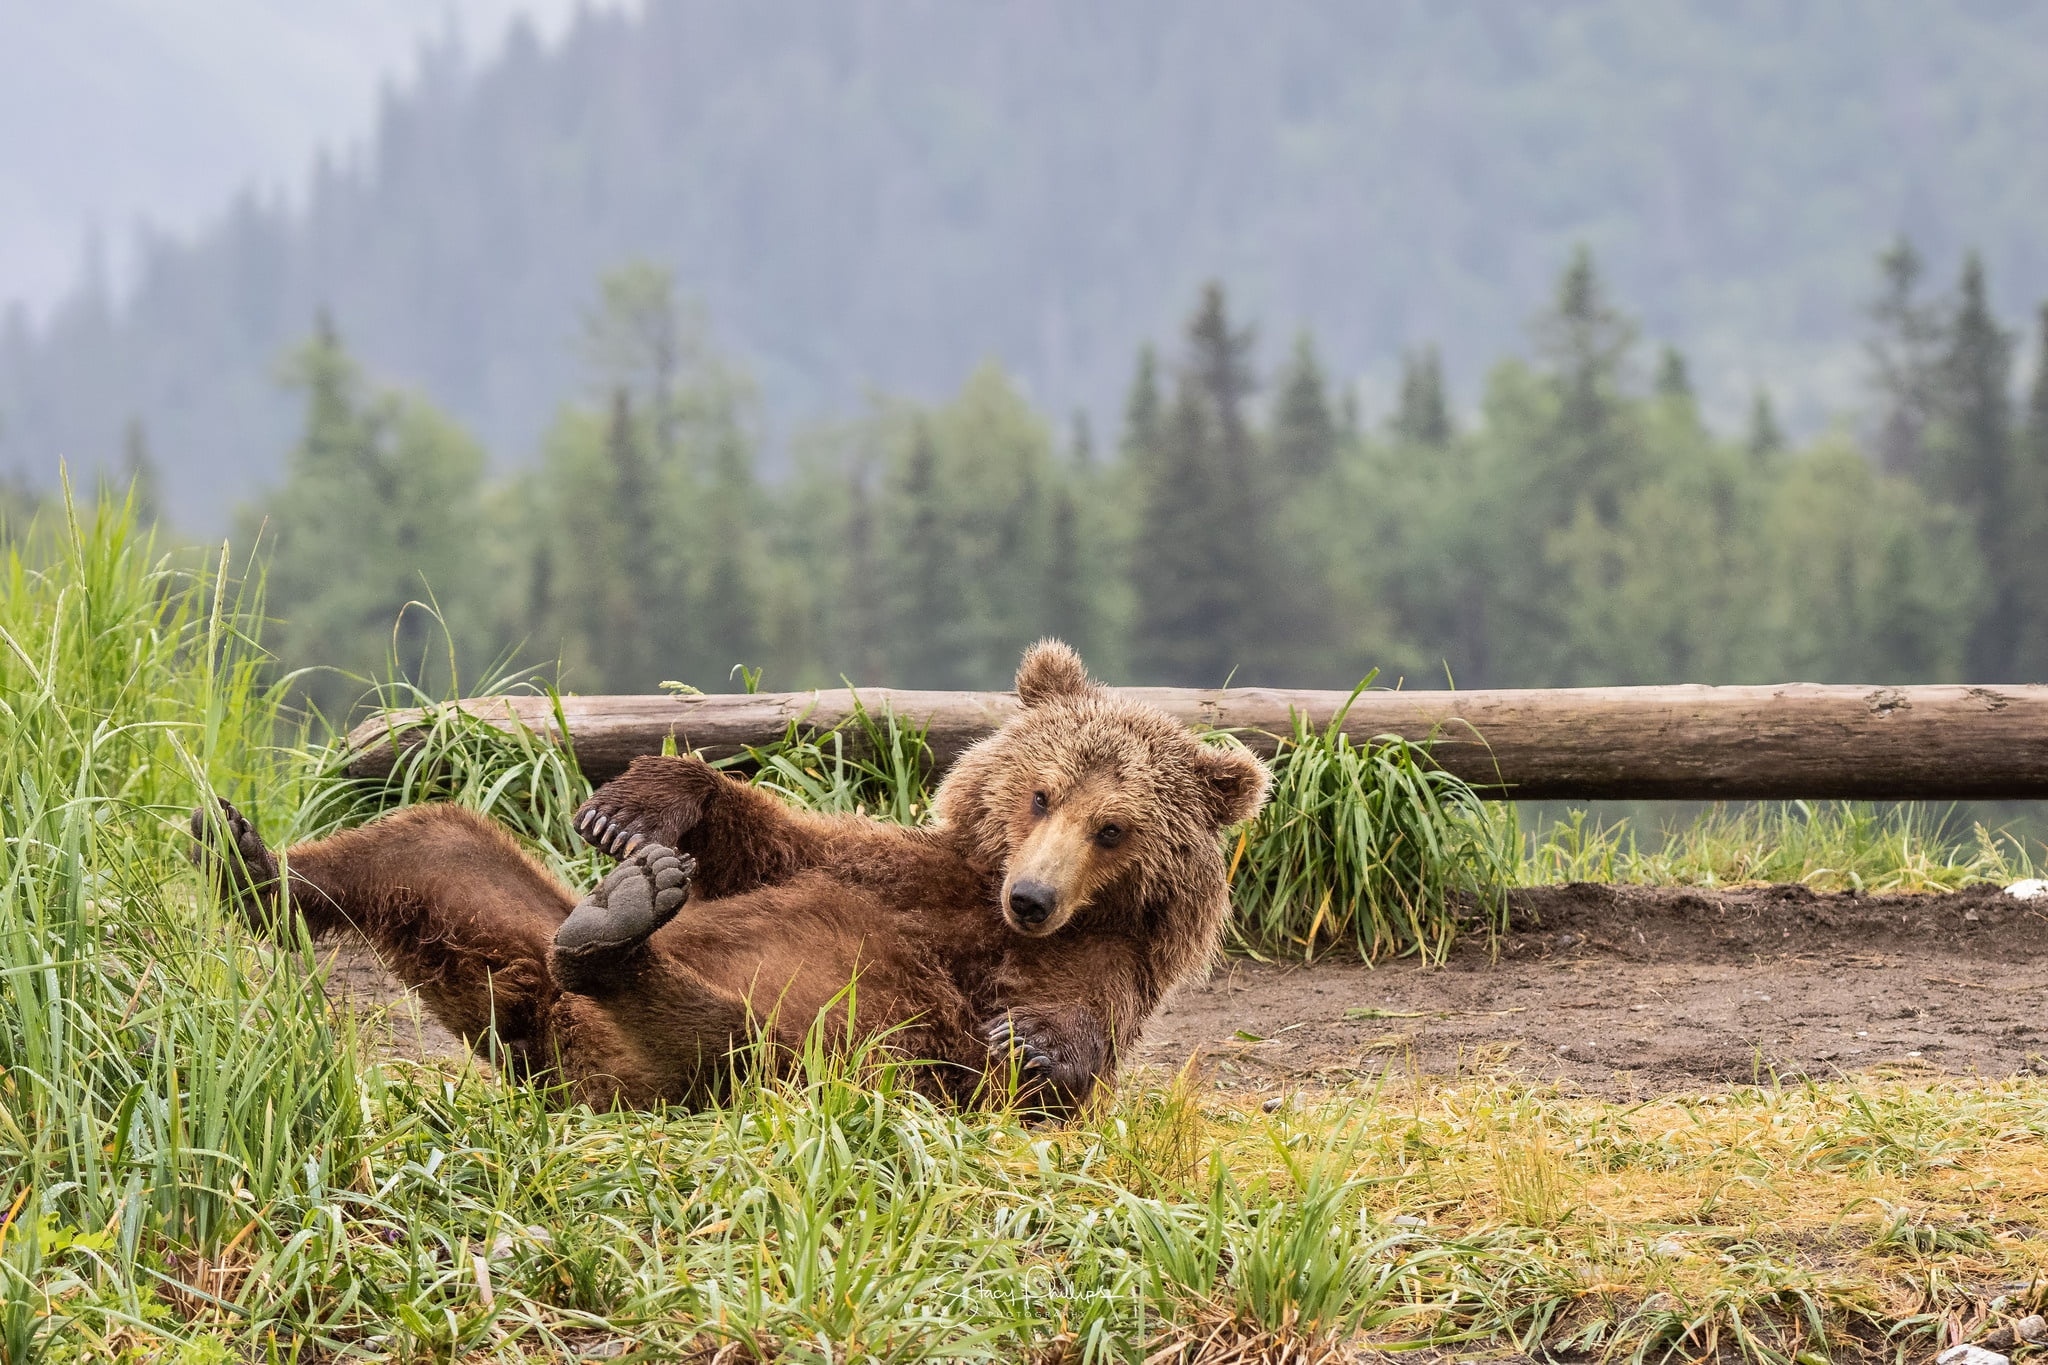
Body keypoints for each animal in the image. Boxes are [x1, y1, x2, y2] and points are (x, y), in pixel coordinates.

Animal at [189, 640, 1270, 1110]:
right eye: (1041, 793)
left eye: (1114, 828)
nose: (1032, 898)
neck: (981, 908)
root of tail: (538, 1033)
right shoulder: (908, 872)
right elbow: (781, 847)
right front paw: (636, 809)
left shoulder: (1086, 962)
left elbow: (1040, 1053)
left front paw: (1037, 1044)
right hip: (499, 925)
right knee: (430, 844)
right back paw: (247, 857)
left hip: (785, 1060)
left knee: (731, 1045)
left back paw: (616, 942)